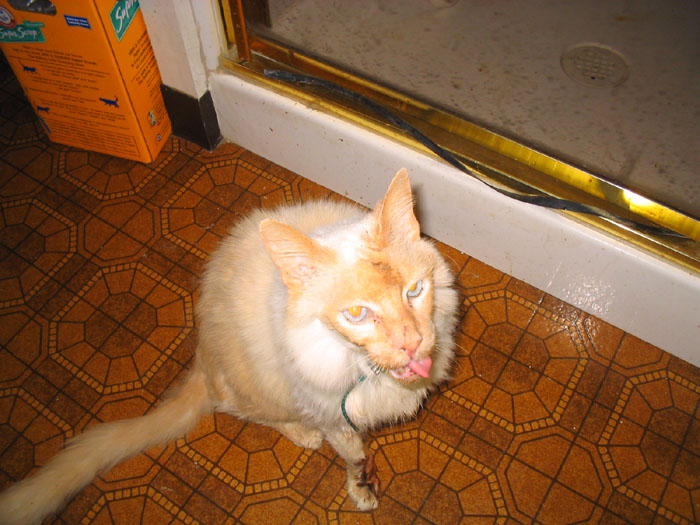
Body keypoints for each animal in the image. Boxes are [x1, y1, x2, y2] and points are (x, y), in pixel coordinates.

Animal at [0, 168, 457, 524]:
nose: (412, 343)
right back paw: (300, 433)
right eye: (358, 314)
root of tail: (202, 360)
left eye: (415, 291)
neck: (366, 370)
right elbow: (353, 455)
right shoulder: (329, 412)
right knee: (239, 408)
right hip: (261, 384)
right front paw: (361, 489)